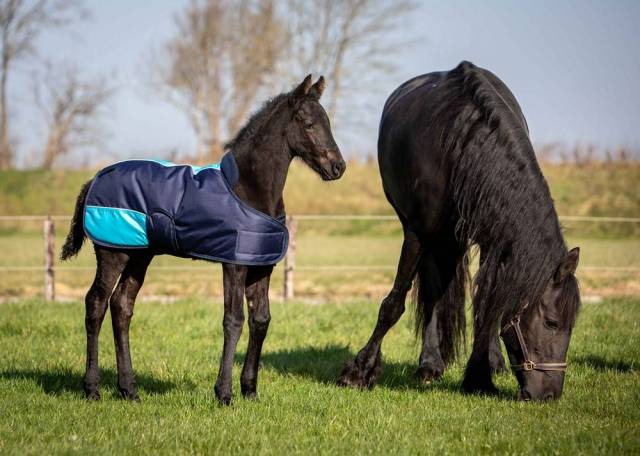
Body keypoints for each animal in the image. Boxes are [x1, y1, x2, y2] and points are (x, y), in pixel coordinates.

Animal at [61, 75, 346, 405]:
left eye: (329, 122)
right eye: (309, 123)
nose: (338, 167)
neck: (248, 189)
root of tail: (93, 179)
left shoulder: (262, 266)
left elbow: (260, 320)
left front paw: (250, 391)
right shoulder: (234, 264)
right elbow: (233, 321)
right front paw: (224, 394)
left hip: (139, 254)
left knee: (122, 306)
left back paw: (129, 390)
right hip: (112, 252)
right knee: (96, 303)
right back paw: (92, 389)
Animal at [338, 61, 581, 401]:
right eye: (552, 322)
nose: (549, 395)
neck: (466, 145)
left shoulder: (495, 241)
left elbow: (488, 305)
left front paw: (480, 375)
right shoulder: (418, 233)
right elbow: (394, 304)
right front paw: (359, 372)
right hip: (430, 236)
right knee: (431, 292)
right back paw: (429, 363)